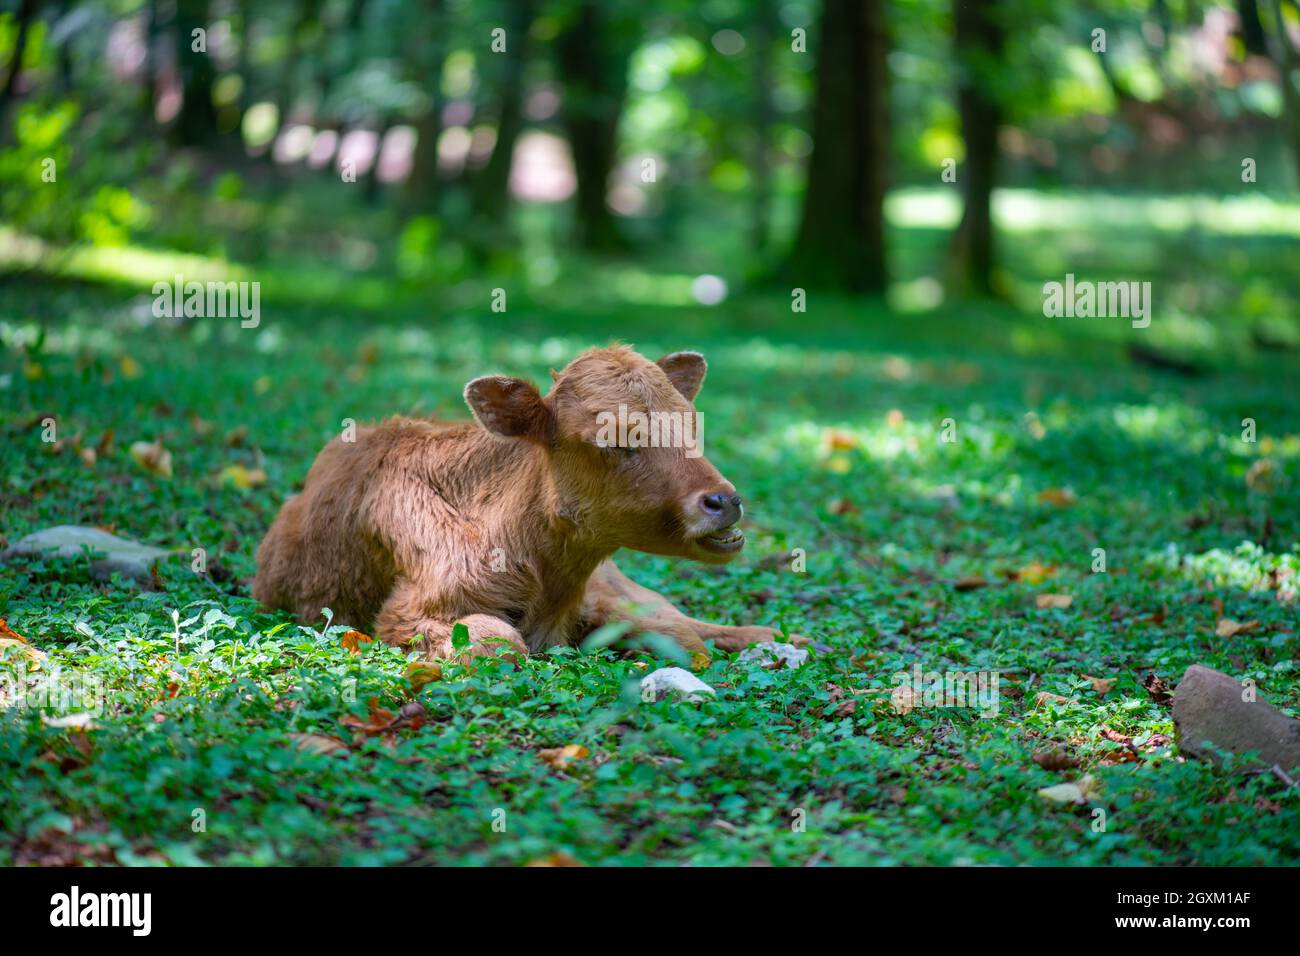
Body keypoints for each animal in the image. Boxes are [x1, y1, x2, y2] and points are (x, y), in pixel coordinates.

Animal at [248, 345, 785, 665]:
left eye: (691, 424)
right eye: (611, 439)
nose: (724, 500)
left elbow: (682, 638)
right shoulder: (406, 613)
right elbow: (500, 642)